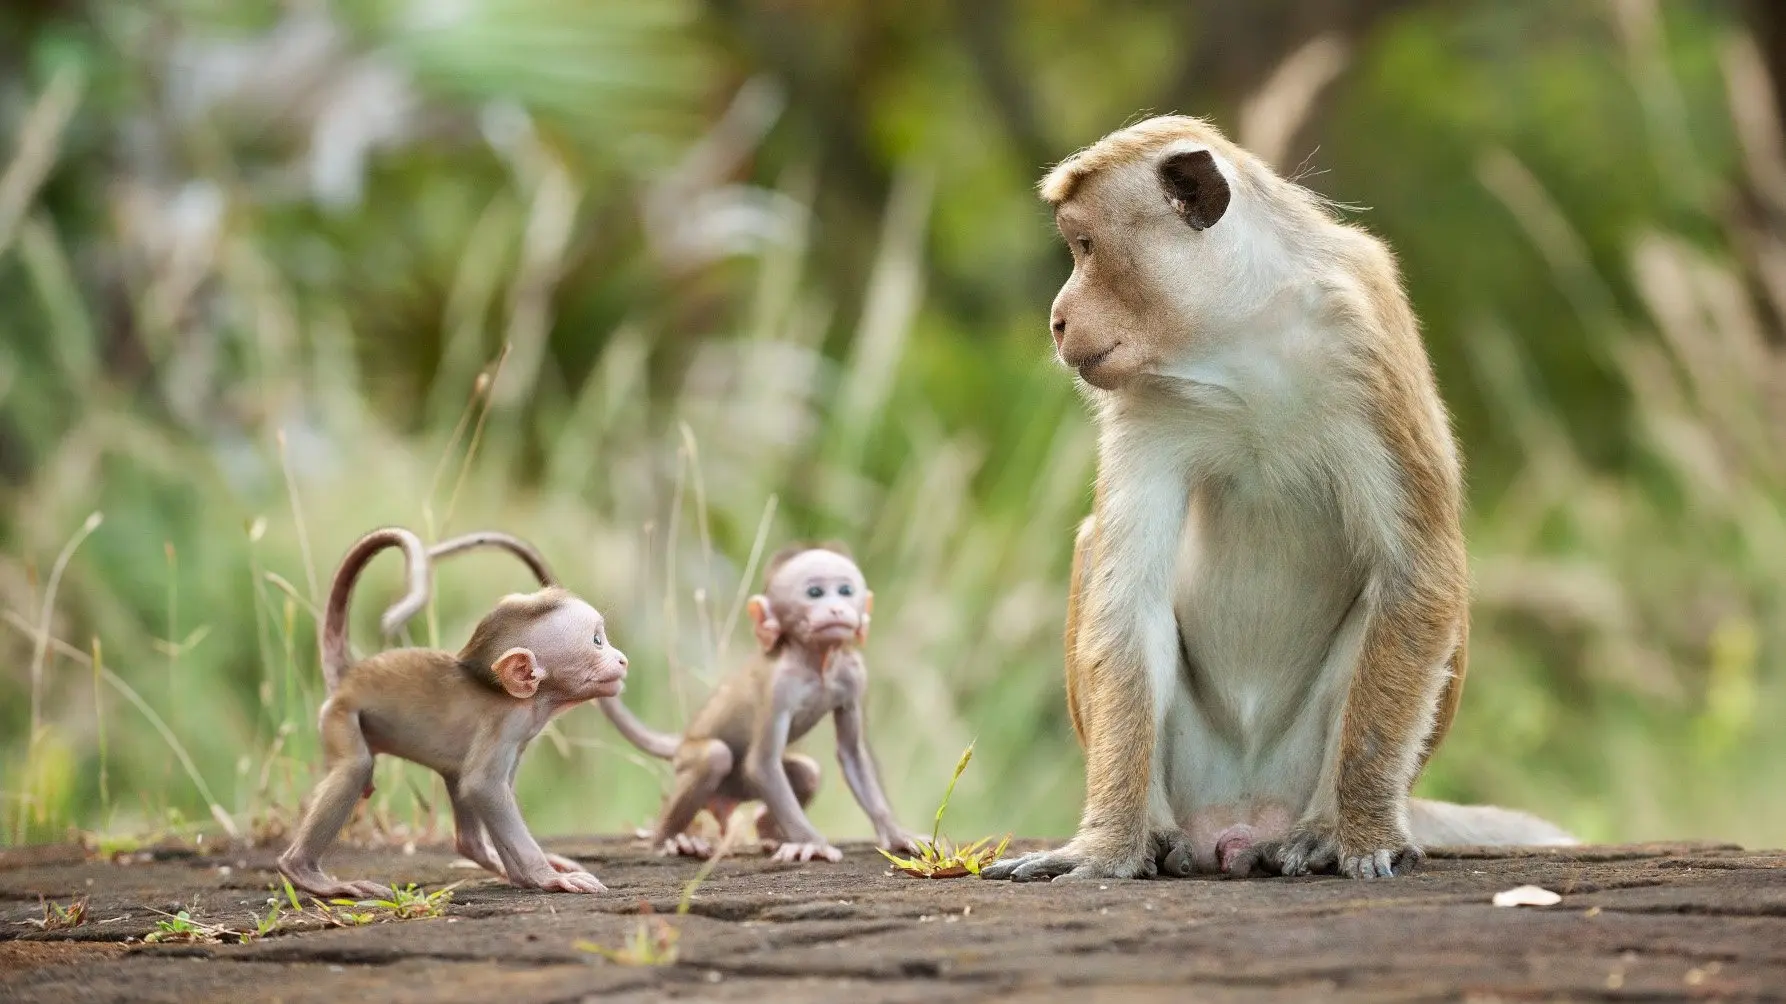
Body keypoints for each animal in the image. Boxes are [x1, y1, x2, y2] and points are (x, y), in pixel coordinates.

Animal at [276, 527, 629, 899]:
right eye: (597, 641)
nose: (622, 660)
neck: (527, 699)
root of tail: (350, 676)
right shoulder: (505, 724)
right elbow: (483, 787)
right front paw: (547, 876)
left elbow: (484, 788)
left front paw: (523, 876)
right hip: (341, 715)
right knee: (356, 767)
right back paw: (305, 872)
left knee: (456, 787)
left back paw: (483, 855)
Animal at [597, 544, 922, 863]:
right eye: (814, 593)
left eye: (845, 590)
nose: (836, 608)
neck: (816, 662)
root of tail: (683, 739)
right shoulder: (778, 686)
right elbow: (762, 763)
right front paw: (812, 843)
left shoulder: (854, 675)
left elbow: (853, 754)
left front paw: (896, 834)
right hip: (689, 760)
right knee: (713, 756)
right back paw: (669, 839)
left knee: (807, 772)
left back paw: (769, 831)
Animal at [981, 116, 1575, 884]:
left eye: (1085, 247)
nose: (1057, 320)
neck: (1239, 338)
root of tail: (1240, 820)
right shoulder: (1145, 402)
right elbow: (1127, 598)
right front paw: (1106, 846)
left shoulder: (1364, 338)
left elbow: (1420, 572)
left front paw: (1362, 832)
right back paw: (1159, 833)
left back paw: (1323, 826)